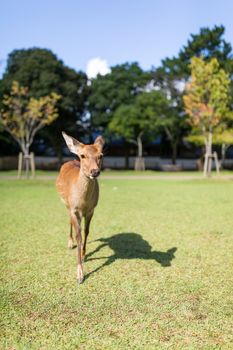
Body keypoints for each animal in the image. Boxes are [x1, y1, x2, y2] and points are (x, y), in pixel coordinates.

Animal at [56, 133, 104, 284]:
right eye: (82, 155)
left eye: (101, 155)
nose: (95, 171)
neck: (83, 201)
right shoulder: (73, 209)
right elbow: (79, 236)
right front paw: (80, 275)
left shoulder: (91, 210)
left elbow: (86, 232)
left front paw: (84, 255)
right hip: (65, 203)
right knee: (69, 222)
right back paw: (69, 243)